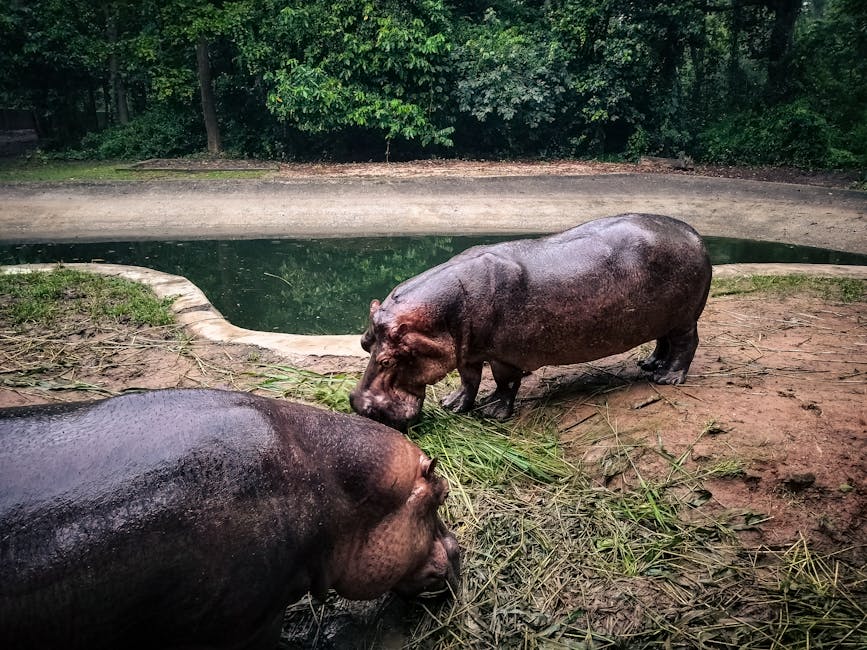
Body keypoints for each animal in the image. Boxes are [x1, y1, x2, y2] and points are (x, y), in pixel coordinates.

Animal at [350, 213, 711, 430]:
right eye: (364, 343)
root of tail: (694, 234)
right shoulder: (467, 350)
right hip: (662, 318)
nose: (358, 406)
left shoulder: (504, 355)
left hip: (684, 318)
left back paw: (668, 377)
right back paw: (649, 364)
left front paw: (493, 412)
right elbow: (469, 379)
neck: (445, 311)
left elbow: (504, 382)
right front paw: (452, 404)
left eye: (387, 359)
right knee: (663, 341)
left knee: (686, 344)